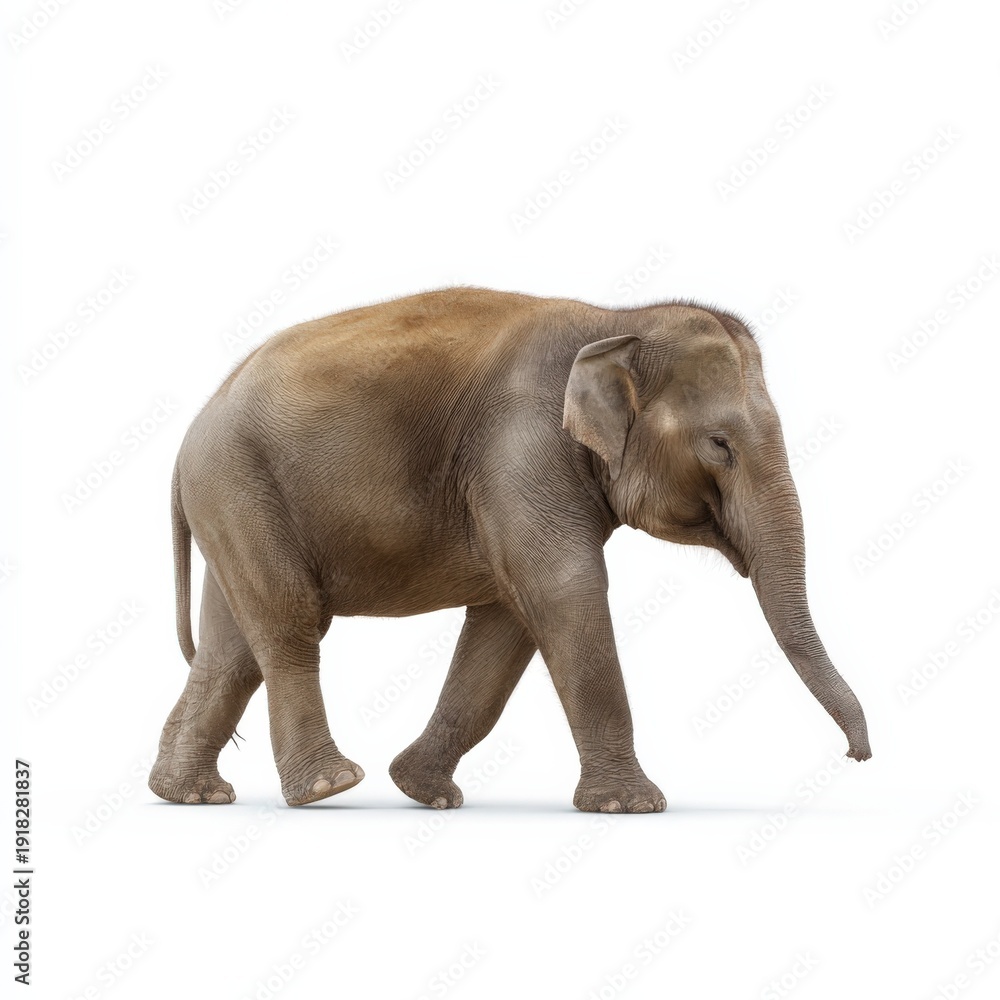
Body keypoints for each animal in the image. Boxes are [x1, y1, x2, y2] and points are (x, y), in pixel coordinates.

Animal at [148, 287, 870, 813]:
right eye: (720, 445)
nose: (857, 757)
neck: (616, 321)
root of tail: (187, 440)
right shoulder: (523, 447)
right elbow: (564, 592)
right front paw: (632, 807)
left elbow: (507, 622)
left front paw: (426, 792)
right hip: (240, 485)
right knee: (290, 621)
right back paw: (329, 788)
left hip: (233, 500)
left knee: (230, 651)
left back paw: (188, 795)